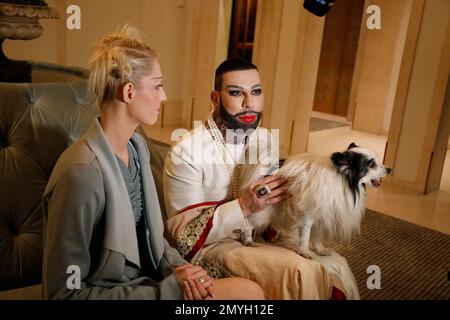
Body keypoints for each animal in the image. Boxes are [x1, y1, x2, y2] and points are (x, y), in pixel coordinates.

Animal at [243, 144, 390, 258]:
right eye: (371, 164)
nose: (390, 169)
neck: (342, 181)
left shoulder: (323, 215)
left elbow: (318, 235)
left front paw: (320, 249)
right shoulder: (307, 217)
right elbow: (305, 235)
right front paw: (304, 251)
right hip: (264, 211)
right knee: (248, 223)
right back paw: (248, 240)